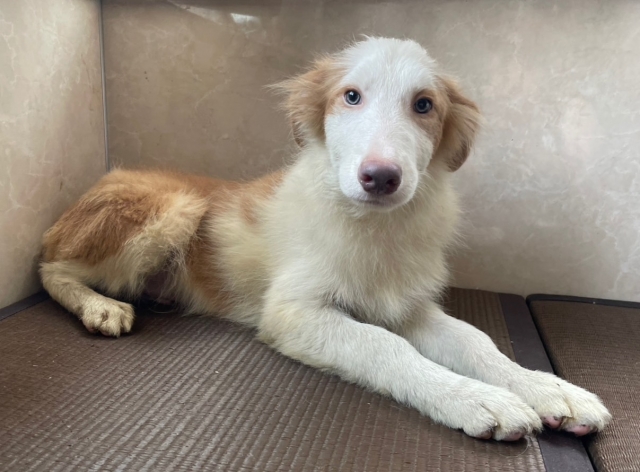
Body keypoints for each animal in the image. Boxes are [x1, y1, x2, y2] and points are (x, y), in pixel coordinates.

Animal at [40, 37, 611, 441]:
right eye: (351, 97)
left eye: (424, 105)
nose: (380, 177)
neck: (374, 230)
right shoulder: (293, 313)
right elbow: (384, 345)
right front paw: (473, 399)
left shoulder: (409, 306)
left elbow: (477, 341)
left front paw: (546, 389)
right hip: (174, 206)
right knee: (50, 267)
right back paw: (100, 307)